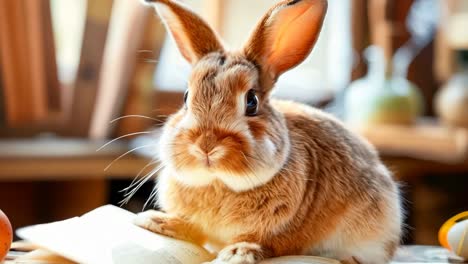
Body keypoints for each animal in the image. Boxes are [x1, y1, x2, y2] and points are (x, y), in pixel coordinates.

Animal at [135, 0, 402, 264]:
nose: (206, 145)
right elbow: (193, 229)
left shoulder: (280, 232)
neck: (219, 182)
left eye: (251, 101)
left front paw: (237, 253)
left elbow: (262, 242)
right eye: (185, 97)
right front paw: (154, 221)